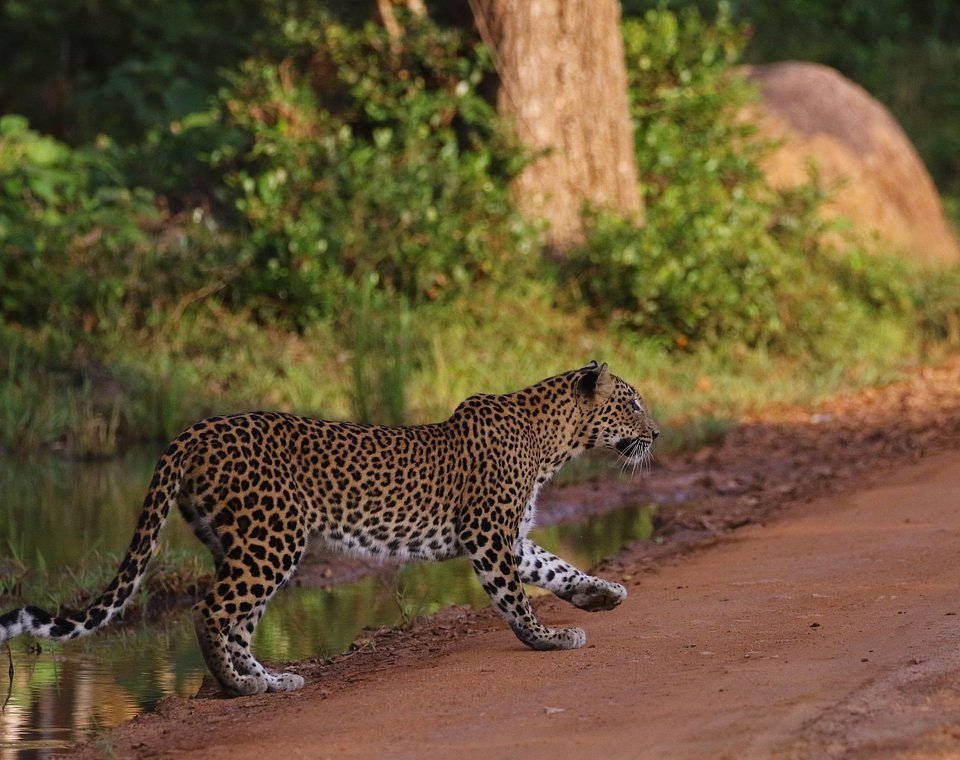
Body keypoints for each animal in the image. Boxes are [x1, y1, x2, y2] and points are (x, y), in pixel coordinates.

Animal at [0, 362, 660, 696]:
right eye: (630, 403)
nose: (656, 434)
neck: (554, 443)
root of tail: (196, 428)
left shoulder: (510, 537)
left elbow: (555, 567)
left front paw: (601, 594)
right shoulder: (489, 536)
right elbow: (516, 597)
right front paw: (545, 639)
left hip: (237, 544)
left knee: (238, 620)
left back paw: (269, 678)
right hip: (271, 539)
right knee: (210, 610)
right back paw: (238, 687)